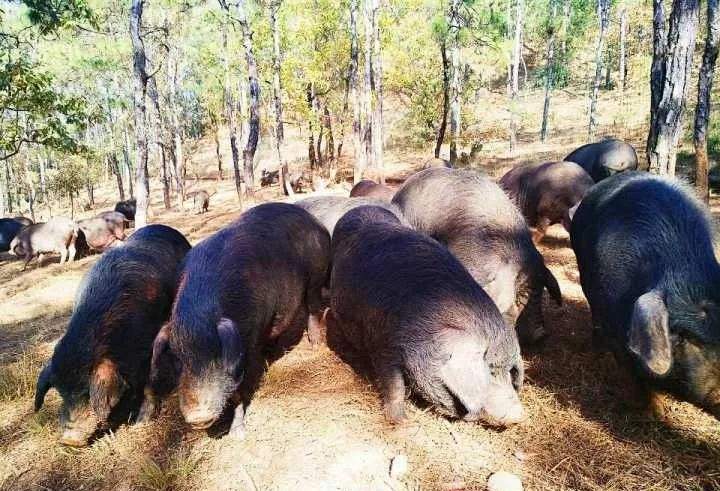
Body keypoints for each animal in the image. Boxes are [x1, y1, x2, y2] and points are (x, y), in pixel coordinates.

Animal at [146, 202, 332, 440]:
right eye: (178, 358)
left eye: (217, 356)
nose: (198, 417)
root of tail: (313, 220)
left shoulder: (248, 344)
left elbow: (238, 391)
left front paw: (238, 435)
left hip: (316, 276)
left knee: (313, 307)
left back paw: (316, 345)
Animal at [330, 206, 524, 424]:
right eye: (489, 370)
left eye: (508, 371)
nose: (519, 416)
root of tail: (359, 208)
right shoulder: (383, 344)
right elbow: (394, 384)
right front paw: (400, 421)